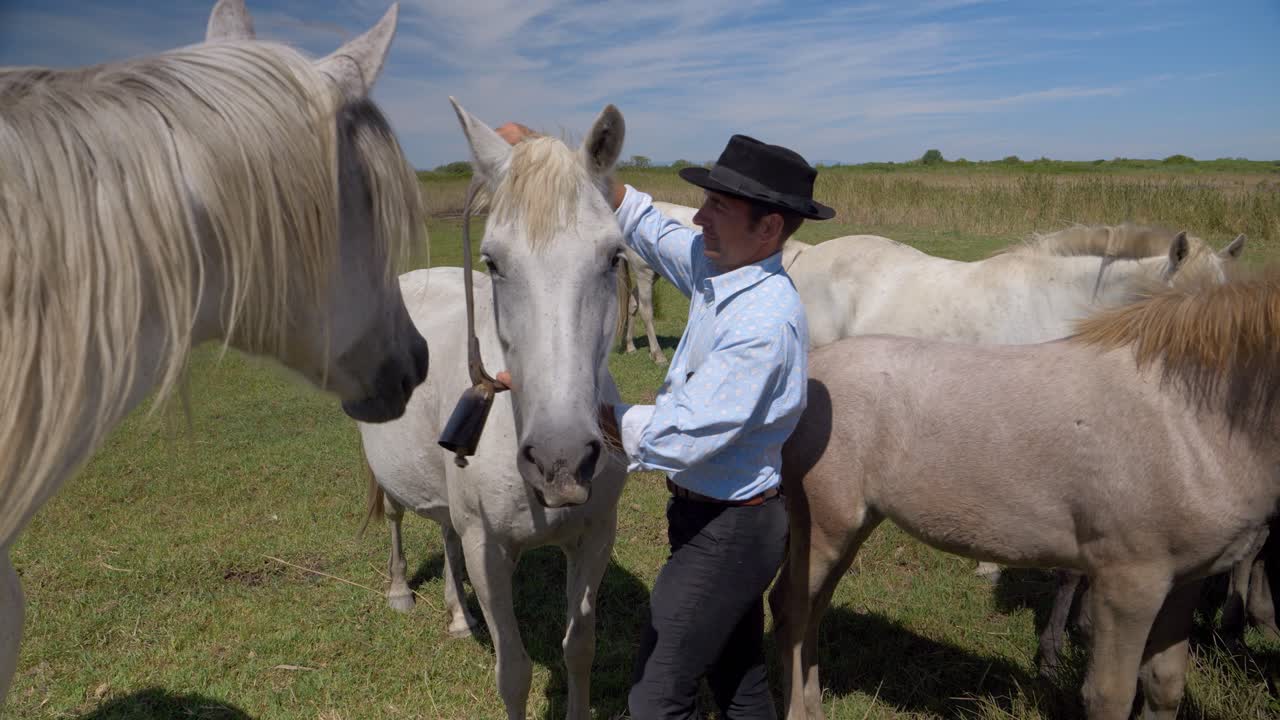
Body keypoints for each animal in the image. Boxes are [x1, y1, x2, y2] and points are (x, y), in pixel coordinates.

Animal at [356, 101, 628, 720]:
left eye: (614, 256)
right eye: (492, 261)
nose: (560, 460)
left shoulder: (595, 537)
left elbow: (579, 649)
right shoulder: (489, 551)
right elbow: (515, 672)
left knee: (444, 529)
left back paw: (459, 617)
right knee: (399, 517)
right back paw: (400, 591)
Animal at [770, 268, 1280, 719]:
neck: (1183, 419)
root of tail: (811, 369)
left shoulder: (1184, 581)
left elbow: (1164, 685)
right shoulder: (1128, 585)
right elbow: (1109, 696)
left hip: (851, 528)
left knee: (808, 611)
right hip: (826, 531)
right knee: (794, 612)